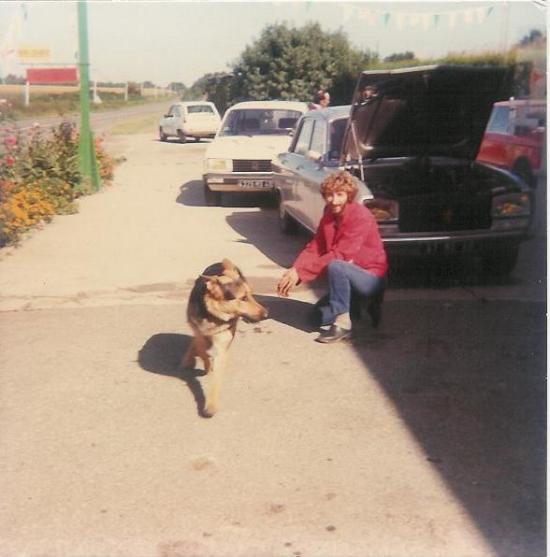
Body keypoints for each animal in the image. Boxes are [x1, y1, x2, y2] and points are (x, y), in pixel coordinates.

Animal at [181, 258, 270, 414]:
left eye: (251, 295)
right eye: (243, 298)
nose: (267, 315)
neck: (212, 313)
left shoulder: (221, 346)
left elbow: (216, 377)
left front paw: (211, 405)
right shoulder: (199, 332)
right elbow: (202, 349)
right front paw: (206, 365)